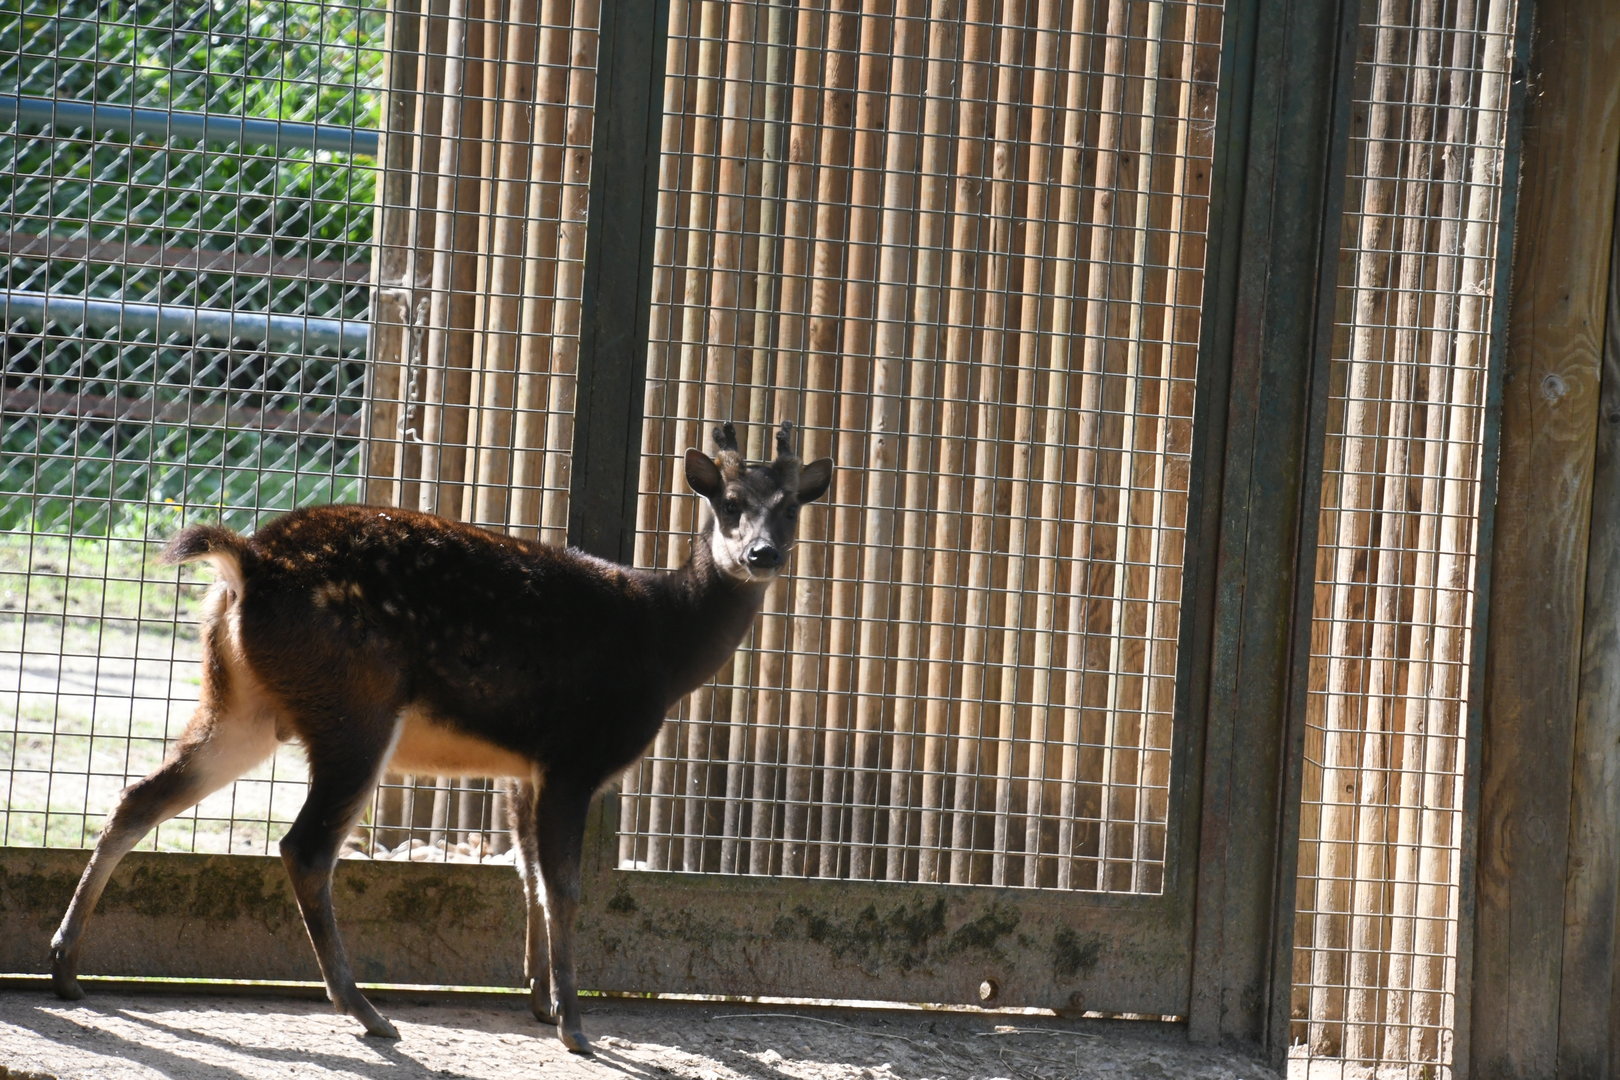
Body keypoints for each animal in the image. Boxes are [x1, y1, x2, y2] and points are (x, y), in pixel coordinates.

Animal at [48, 420, 833, 1055]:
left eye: (790, 506)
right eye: (728, 503)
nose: (762, 554)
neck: (666, 642)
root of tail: (250, 562)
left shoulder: (524, 770)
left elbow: (530, 879)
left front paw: (540, 1003)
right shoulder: (575, 758)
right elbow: (566, 887)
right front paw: (576, 1028)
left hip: (238, 706)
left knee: (138, 799)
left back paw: (67, 968)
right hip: (353, 705)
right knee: (304, 848)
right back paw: (366, 1012)